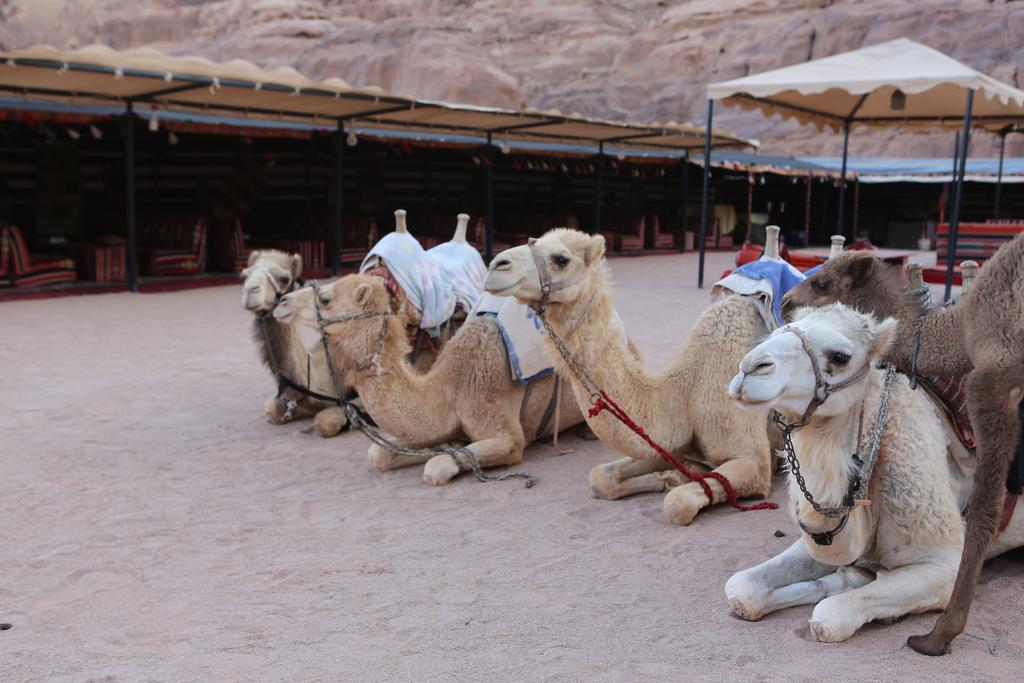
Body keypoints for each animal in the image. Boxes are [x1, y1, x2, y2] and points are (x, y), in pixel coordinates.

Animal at [276, 274, 589, 489]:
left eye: (325, 299)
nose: (281, 301)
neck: (452, 385)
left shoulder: (507, 433)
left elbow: (436, 465)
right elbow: (379, 453)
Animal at [483, 227, 778, 528]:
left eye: (561, 259)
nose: (496, 265)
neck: (687, 388)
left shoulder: (754, 462)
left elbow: (677, 504)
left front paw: (678, 478)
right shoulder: (669, 445)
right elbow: (600, 476)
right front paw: (674, 475)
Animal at [724, 305, 1019, 647]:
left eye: (840, 356)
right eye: (775, 331)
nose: (749, 368)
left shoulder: (944, 562)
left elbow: (829, 616)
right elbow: (741, 587)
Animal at [774, 240, 1024, 655]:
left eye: (823, 283)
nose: (785, 302)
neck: (958, 331)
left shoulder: (994, 376)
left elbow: (983, 515)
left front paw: (939, 635)